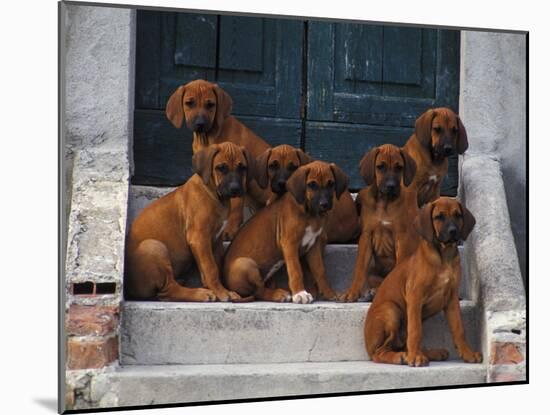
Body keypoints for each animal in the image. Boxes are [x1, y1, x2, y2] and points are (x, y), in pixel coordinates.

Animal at [125, 143, 254, 302]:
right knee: (169, 290)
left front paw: (224, 290)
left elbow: (215, 266)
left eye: (242, 168)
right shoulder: (199, 238)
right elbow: (211, 268)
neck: (212, 192)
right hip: (153, 246)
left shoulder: (215, 241)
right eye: (221, 168)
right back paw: (200, 293)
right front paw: (222, 292)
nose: (235, 189)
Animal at [167, 79, 272, 239]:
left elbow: (235, 204)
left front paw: (230, 229)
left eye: (210, 104)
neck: (207, 137)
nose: (200, 123)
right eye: (189, 103)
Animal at [223, 161, 350, 304]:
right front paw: (300, 293)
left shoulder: (314, 246)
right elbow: (296, 270)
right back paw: (278, 295)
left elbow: (320, 271)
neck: (310, 213)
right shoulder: (290, 244)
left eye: (331, 184)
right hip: (245, 264)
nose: (324, 204)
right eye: (312, 184)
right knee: (259, 291)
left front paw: (329, 293)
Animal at [340, 143, 418, 302]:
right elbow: (359, 269)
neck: (384, 201)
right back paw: (373, 292)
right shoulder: (366, 237)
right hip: (372, 273)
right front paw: (352, 292)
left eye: (399, 167)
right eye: (380, 167)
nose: (391, 186)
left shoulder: (401, 238)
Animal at [366, 198, 484, 368]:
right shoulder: (415, 296)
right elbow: (416, 330)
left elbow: (459, 329)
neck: (444, 256)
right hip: (391, 309)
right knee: (380, 352)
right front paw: (415, 357)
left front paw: (468, 353)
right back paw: (402, 356)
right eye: (439, 217)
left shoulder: (452, 299)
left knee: (401, 344)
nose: (453, 231)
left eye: (458, 215)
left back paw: (431, 353)